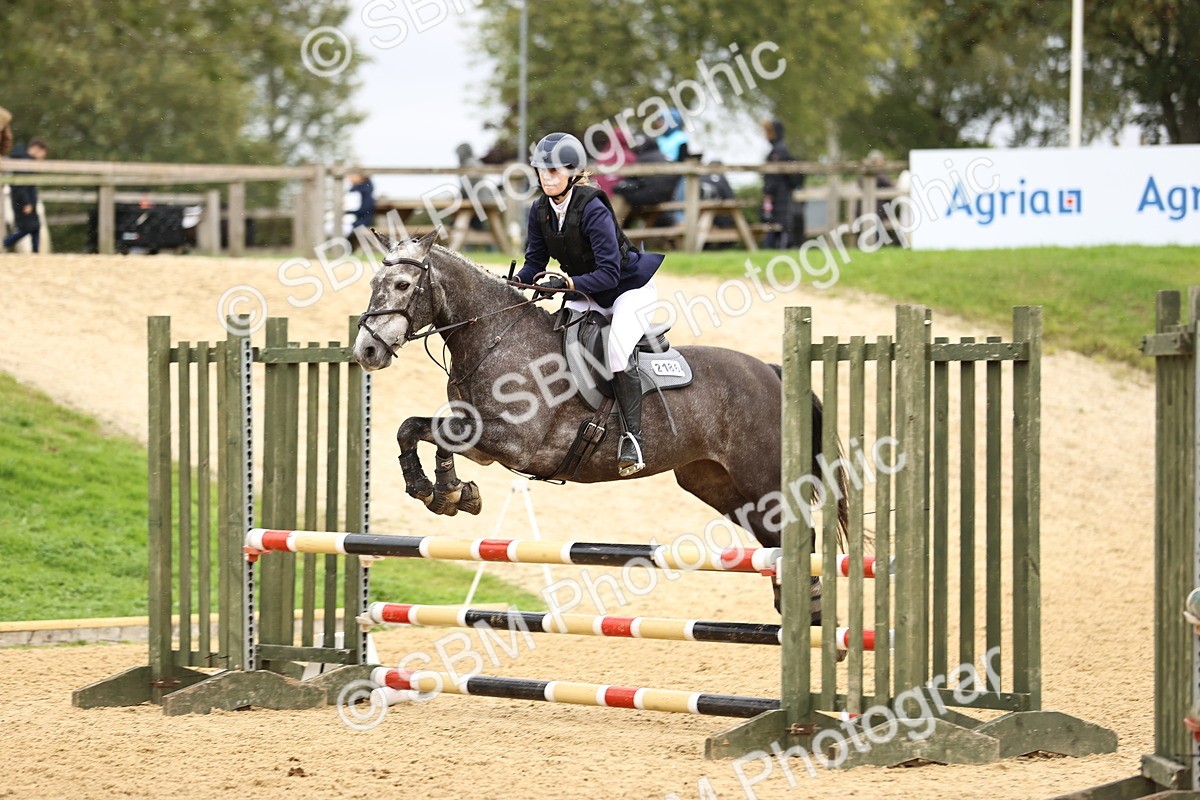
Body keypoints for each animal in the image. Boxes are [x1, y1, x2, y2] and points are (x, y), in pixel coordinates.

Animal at [352, 230, 848, 617]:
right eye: (373, 283)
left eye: (402, 284)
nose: (367, 351)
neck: (496, 337)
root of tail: (772, 371)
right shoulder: (484, 442)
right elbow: (413, 428)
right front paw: (442, 490)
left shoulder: (515, 442)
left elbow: (439, 433)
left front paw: (449, 490)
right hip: (718, 484)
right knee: (775, 537)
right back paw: (793, 603)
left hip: (762, 476)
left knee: (801, 533)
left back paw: (811, 607)